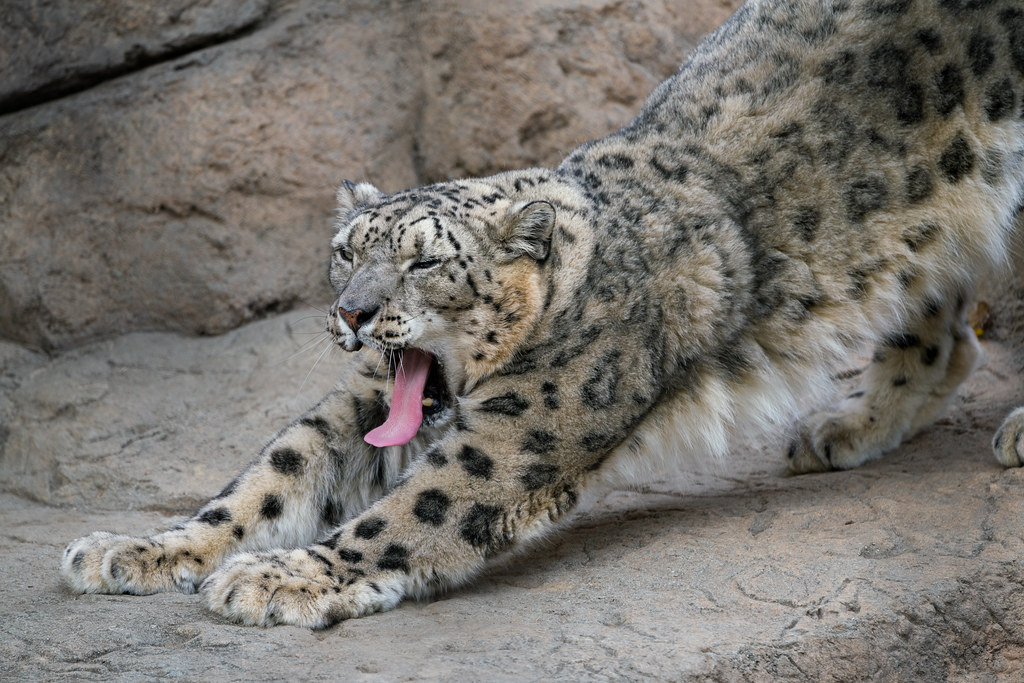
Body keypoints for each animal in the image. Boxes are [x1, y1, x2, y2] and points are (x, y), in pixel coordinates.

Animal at [63, 0, 1024, 628]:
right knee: (945, 335)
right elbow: (277, 472)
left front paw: (277, 575)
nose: (353, 314)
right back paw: (844, 425)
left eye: (423, 261)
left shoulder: (519, 431)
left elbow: (411, 512)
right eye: (346, 250)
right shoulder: (370, 394)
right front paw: (138, 549)